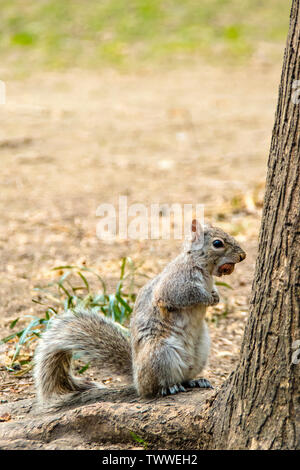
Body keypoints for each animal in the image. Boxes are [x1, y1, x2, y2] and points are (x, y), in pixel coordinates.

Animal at [34, 220, 246, 408]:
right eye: (217, 243)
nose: (243, 256)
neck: (204, 270)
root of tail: (136, 378)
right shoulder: (174, 284)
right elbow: (185, 296)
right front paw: (209, 298)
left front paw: (216, 295)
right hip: (160, 354)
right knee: (154, 387)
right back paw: (168, 388)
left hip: (200, 351)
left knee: (184, 376)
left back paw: (194, 381)